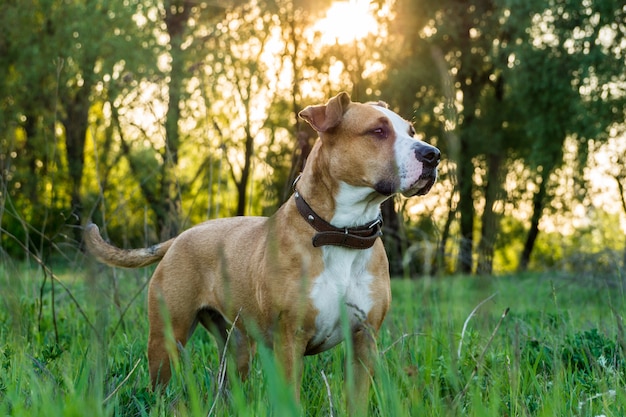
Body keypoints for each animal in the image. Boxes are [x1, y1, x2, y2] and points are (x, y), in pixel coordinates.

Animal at [85, 90, 438, 410]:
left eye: (411, 132)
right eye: (378, 131)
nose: (432, 154)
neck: (340, 234)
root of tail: (181, 236)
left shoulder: (363, 342)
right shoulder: (290, 341)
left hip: (237, 345)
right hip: (166, 339)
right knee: (160, 385)